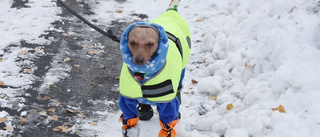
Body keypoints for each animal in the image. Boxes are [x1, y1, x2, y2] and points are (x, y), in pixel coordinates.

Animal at [119, 0, 191, 136]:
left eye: (150, 44)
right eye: (132, 42)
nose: (138, 60)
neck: (143, 73)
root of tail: (172, 11)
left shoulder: (168, 105)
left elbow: (168, 125)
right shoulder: (127, 101)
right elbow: (130, 121)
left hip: (181, 72)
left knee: (178, 90)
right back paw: (144, 110)